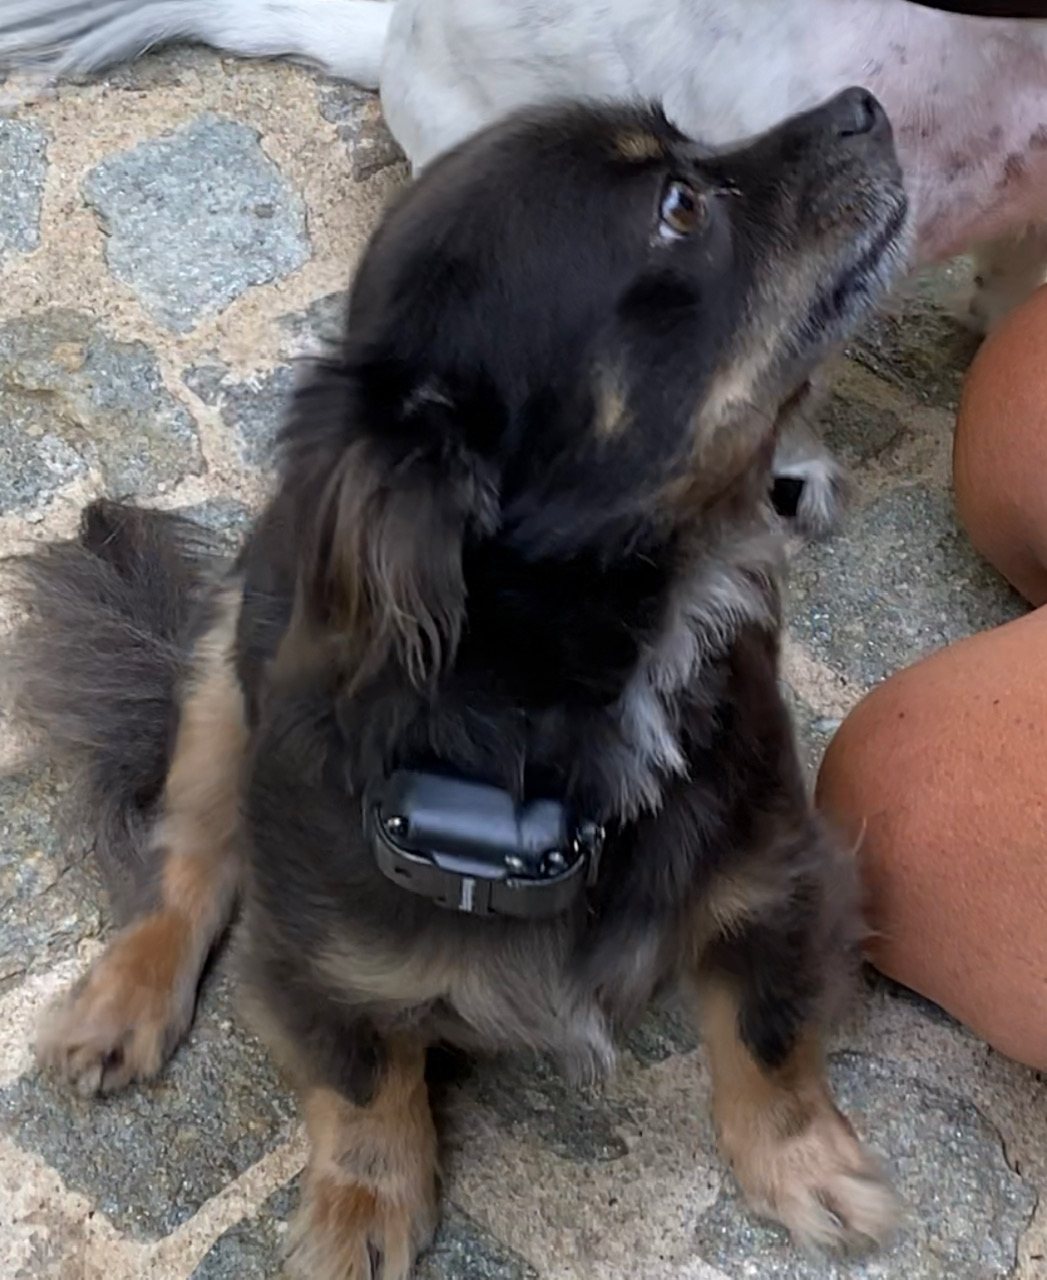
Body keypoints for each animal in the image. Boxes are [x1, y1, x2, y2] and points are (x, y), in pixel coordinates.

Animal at [6, 92, 908, 1278]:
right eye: (678, 207)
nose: (865, 103)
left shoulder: (778, 877)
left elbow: (766, 1034)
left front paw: (805, 1166)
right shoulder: (319, 962)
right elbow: (363, 1084)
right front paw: (361, 1208)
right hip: (213, 689)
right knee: (187, 860)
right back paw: (122, 1000)